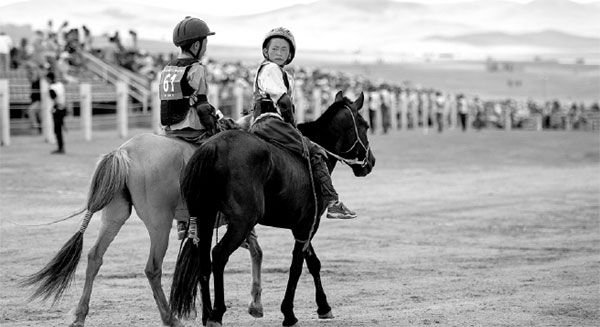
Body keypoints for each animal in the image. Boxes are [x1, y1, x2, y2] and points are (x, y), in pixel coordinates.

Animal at [21, 121, 264, 327]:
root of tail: (125, 151)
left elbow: (252, 251)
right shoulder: (238, 222)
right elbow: (254, 251)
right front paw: (253, 304)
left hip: (114, 216)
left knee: (94, 256)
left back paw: (80, 315)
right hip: (159, 224)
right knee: (152, 268)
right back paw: (170, 318)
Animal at [170, 91, 376, 327]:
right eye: (365, 125)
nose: (371, 162)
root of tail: (213, 147)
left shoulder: (302, 225)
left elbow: (312, 262)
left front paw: (323, 306)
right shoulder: (309, 224)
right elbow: (297, 266)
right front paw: (289, 313)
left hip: (204, 217)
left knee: (204, 261)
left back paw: (207, 314)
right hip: (241, 222)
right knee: (219, 255)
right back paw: (217, 313)